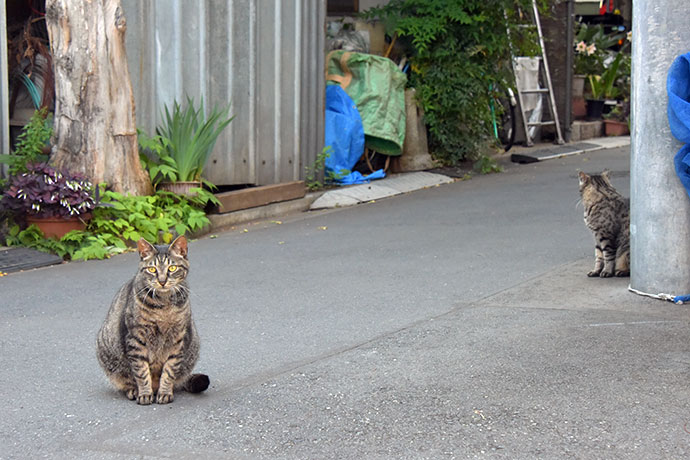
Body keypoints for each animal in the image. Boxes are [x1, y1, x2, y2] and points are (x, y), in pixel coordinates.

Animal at [97, 235, 207, 404]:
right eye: (152, 269)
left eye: (172, 268)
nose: (162, 281)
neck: (164, 306)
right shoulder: (135, 339)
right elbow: (141, 372)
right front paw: (144, 394)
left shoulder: (178, 339)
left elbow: (169, 371)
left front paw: (165, 392)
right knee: (127, 380)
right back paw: (135, 391)